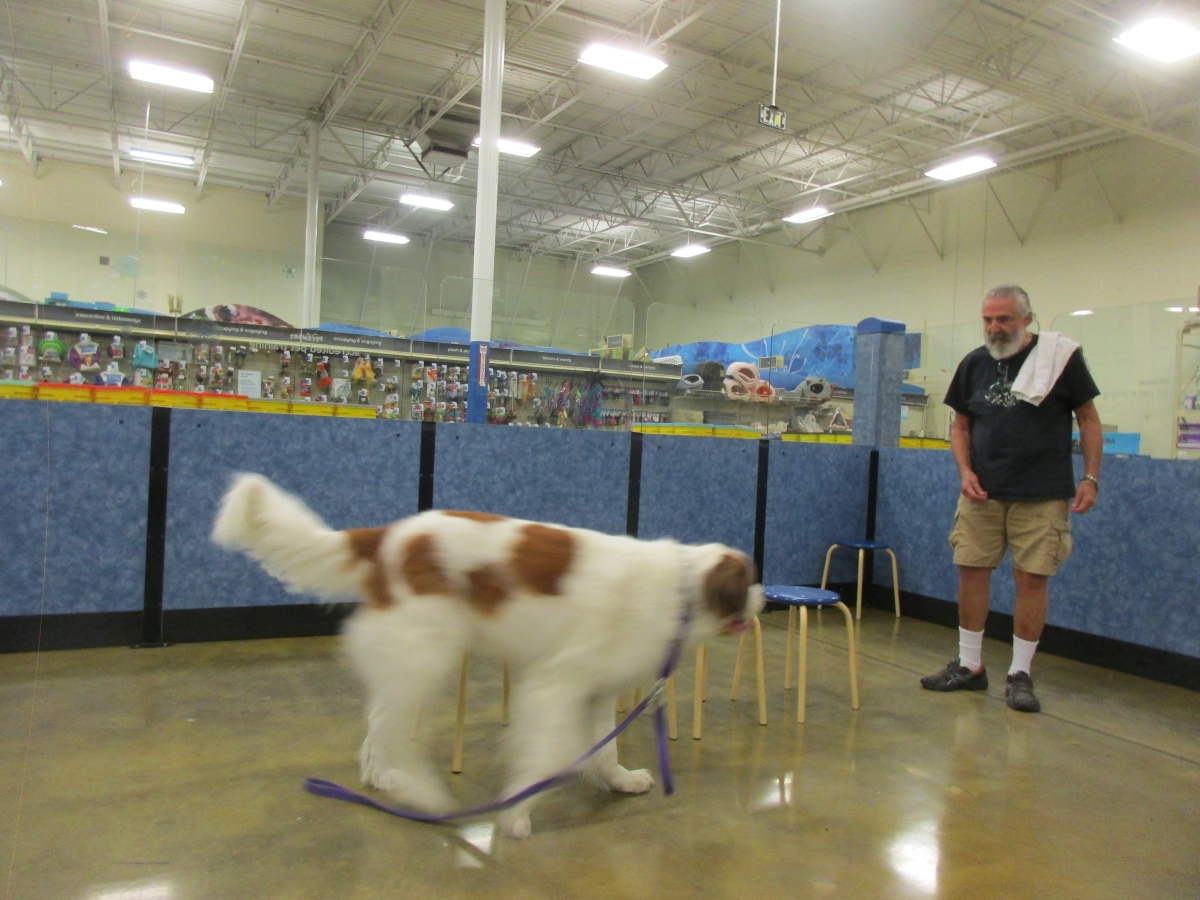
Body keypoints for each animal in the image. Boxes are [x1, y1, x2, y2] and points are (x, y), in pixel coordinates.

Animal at [212, 473, 763, 838]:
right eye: (750, 581)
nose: (764, 598)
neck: (681, 588)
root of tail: (394, 533)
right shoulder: (555, 685)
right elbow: (551, 755)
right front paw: (516, 814)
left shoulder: (598, 689)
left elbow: (604, 747)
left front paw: (618, 780)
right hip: (427, 653)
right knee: (391, 728)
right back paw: (417, 792)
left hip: (413, 659)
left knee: (378, 724)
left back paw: (383, 779)